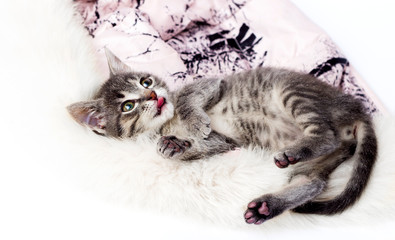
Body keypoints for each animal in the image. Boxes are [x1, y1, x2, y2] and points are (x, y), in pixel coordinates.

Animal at [67, 48, 378, 225]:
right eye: (128, 106)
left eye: (146, 81)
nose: (154, 95)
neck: (167, 124)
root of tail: (355, 109)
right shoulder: (229, 143)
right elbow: (201, 147)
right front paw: (175, 146)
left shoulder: (212, 83)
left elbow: (187, 101)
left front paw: (192, 125)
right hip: (316, 160)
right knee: (313, 182)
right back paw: (268, 205)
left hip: (293, 92)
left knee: (325, 135)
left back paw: (292, 154)